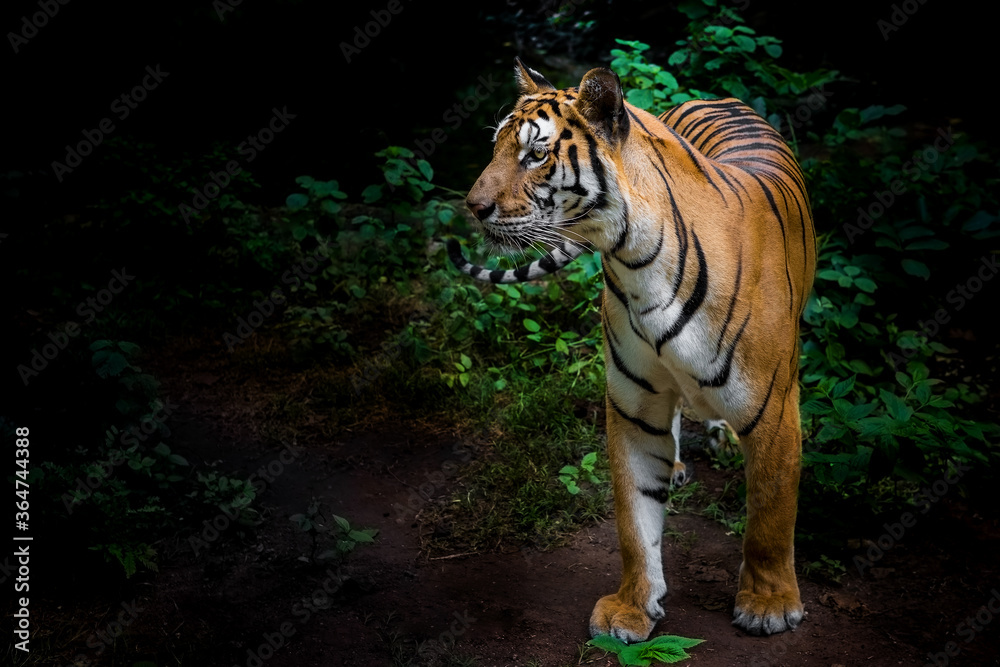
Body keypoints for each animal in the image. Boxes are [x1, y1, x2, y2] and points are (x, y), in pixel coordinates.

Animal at [448, 58, 816, 641]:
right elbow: (633, 516)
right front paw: (632, 608)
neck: (636, 258)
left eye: (536, 154)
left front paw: (769, 605)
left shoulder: (774, 407)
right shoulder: (634, 403)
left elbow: (771, 514)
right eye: (498, 145)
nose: (473, 207)